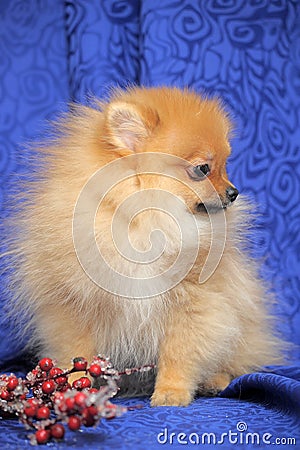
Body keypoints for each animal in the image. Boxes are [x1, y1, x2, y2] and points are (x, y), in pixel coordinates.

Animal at [4, 87, 282, 404]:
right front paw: (73, 388)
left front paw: (172, 391)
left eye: (226, 166)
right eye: (203, 169)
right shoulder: (75, 303)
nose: (233, 192)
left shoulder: (192, 303)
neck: (145, 223)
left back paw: (216, 380)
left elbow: (179, 353)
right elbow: (75, 350)